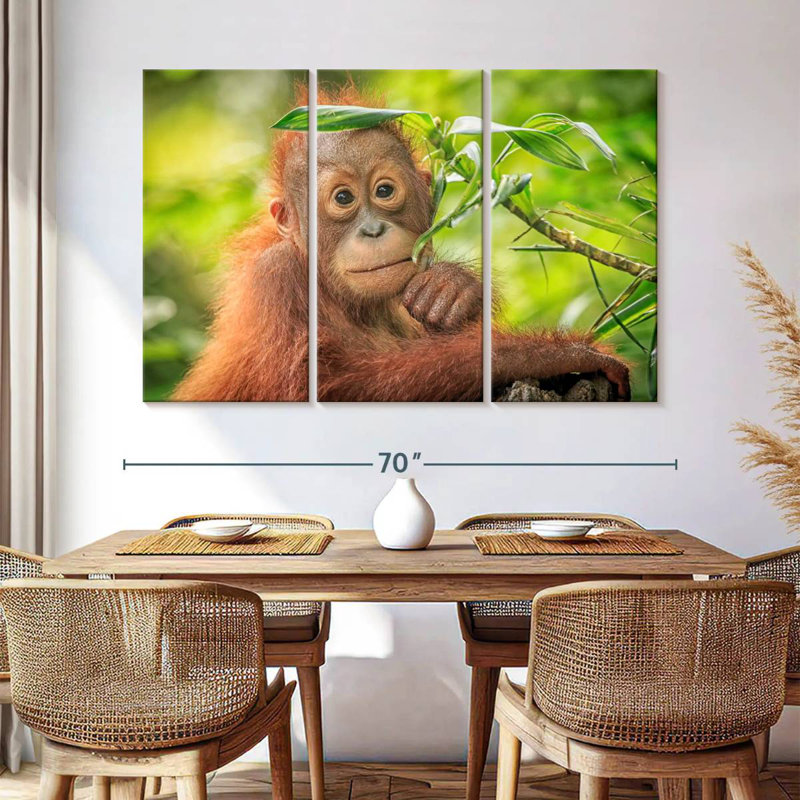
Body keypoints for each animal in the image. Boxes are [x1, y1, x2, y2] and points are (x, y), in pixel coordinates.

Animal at [173, 91, 629, 403]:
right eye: (343, 198)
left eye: (385, 191)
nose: (373, 230)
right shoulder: (275, 278)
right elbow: (328, 385)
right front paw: (561, 355)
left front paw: (451, 291)